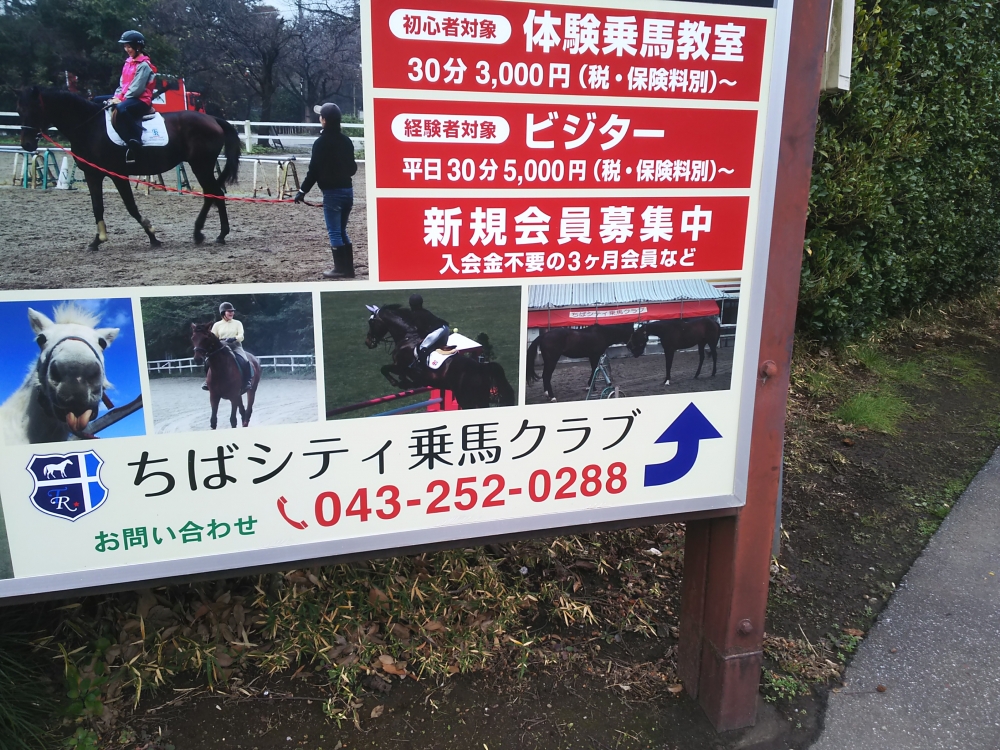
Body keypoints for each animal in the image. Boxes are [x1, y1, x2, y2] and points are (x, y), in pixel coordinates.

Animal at [17, 87, 241, 251]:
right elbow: (97, 207)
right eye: (19, 111)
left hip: (201, 165)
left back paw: (219, 234)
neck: (90, 127)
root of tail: (212, 119)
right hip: (201, 165)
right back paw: (202, 233)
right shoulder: (92, 174)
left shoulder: (118, 174)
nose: (26, 144)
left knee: (215, 193)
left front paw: (153, 236)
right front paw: (97, 240)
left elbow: (131, 206)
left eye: (34, 111)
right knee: (211, 194)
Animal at [364, 305, 515, 409]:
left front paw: (398, 382)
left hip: (466, 398)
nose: (368, 342)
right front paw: (405, 382)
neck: (407, 337)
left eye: (371, 323)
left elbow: (384, 369)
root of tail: (481, 367)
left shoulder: (400, 366)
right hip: (480, 398)